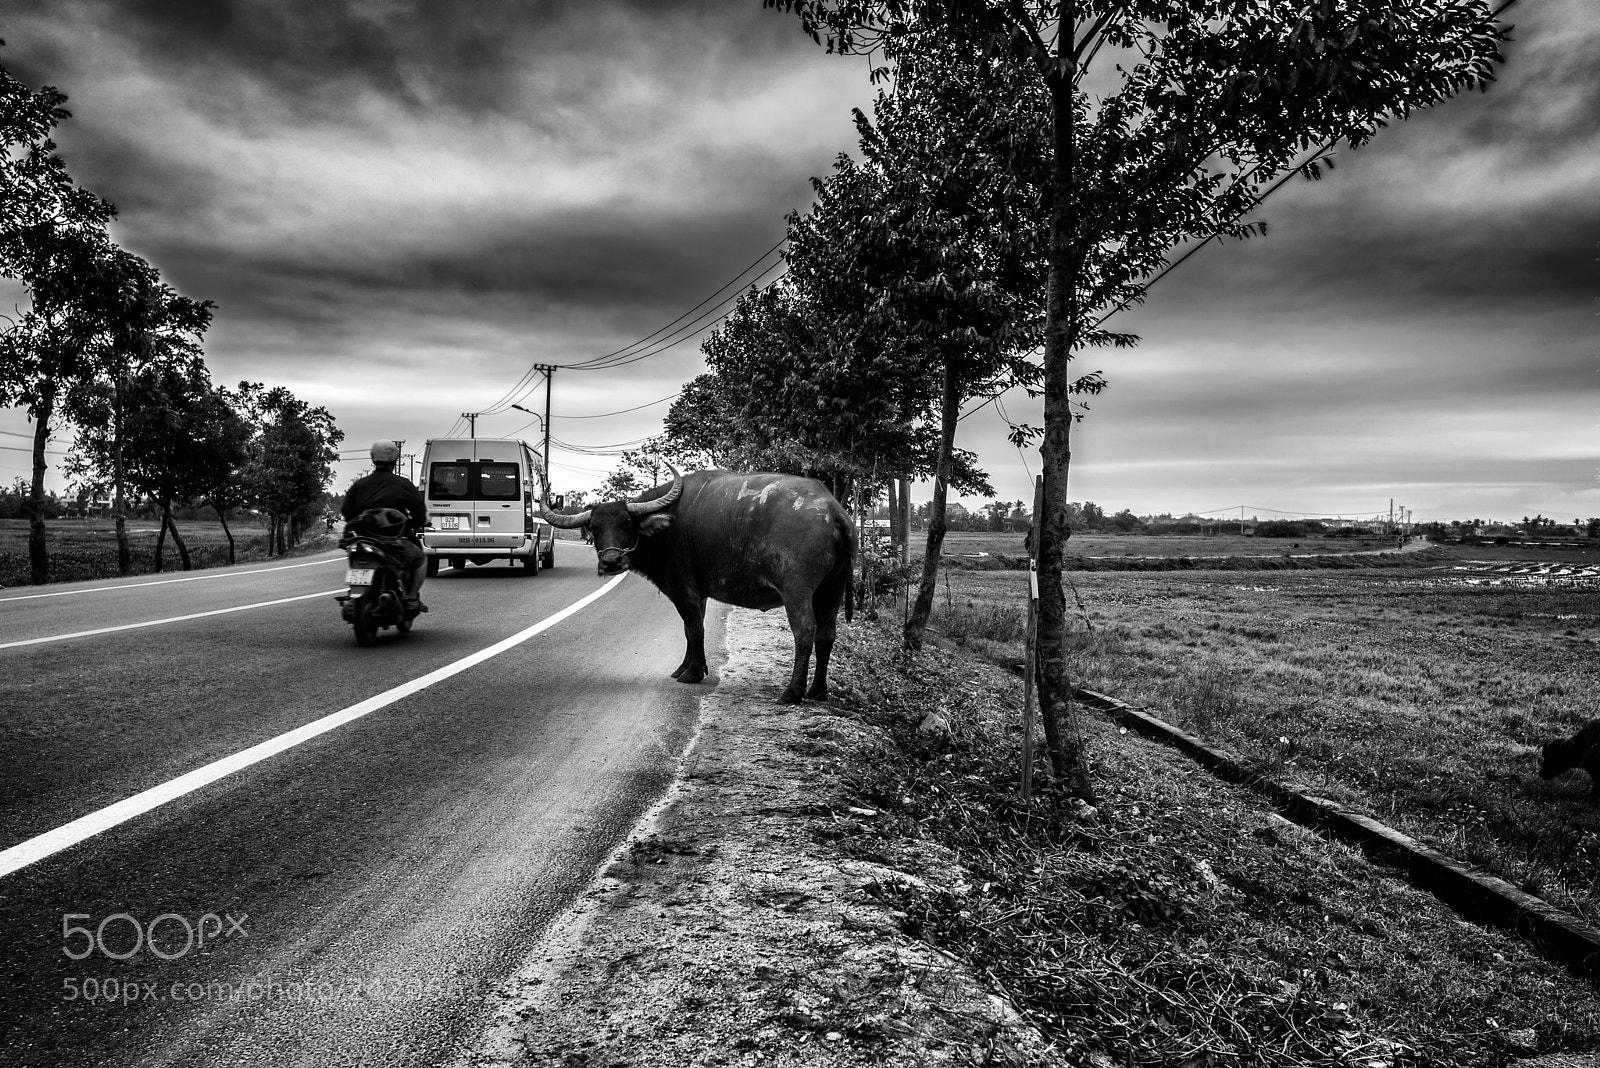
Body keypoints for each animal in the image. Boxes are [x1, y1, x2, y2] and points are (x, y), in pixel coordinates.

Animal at [540, 468, 854, 703]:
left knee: (805, 631)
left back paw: (793, 691)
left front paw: (693, 672)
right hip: (833, 586)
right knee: (826, 633)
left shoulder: (684, 590)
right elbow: (691, 629)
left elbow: (694, 628)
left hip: (796, 590)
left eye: (627, 523)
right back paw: (818, 691)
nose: (611, 561)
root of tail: (833, 508)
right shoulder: (699, 593)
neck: (666, 529)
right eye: (594, 528)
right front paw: (685, 667)